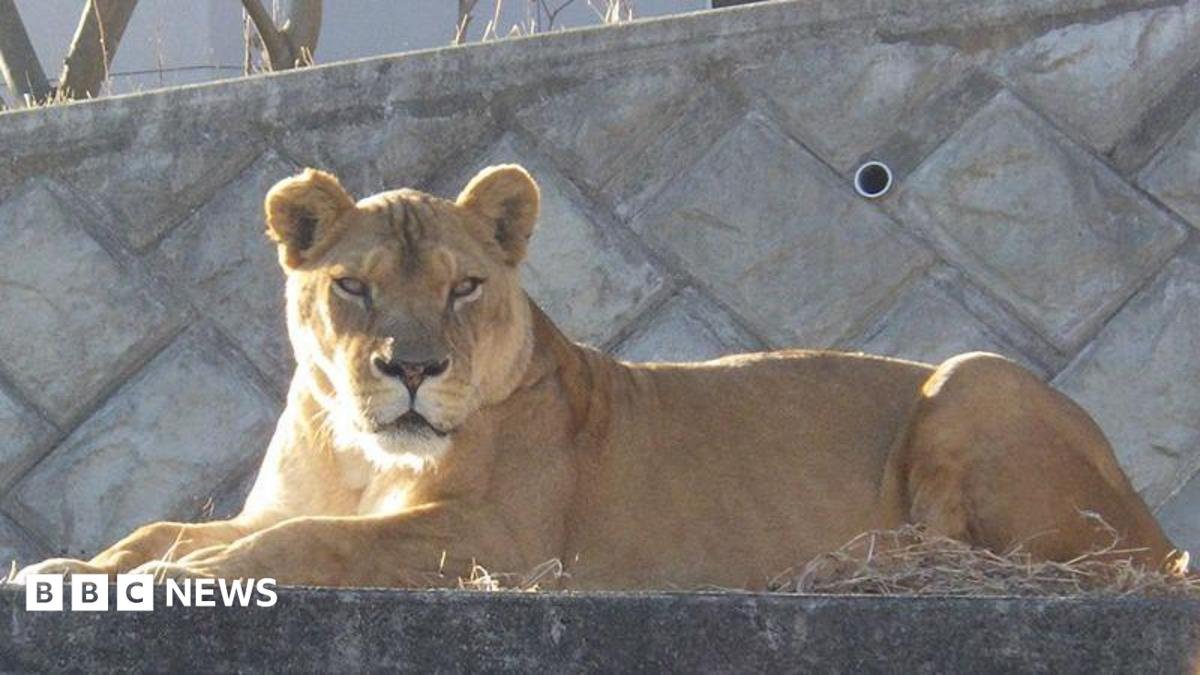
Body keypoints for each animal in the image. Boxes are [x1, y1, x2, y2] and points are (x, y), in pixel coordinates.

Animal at [14, 164, 1188, 589]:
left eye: (464, 287)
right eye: (351, 286)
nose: (411, 369)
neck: (359, 451)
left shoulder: (499, 540)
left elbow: (308, 543)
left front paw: (185, 576)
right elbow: (173, 526)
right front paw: (76, 564)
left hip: (975, 376)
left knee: (1055, 562)